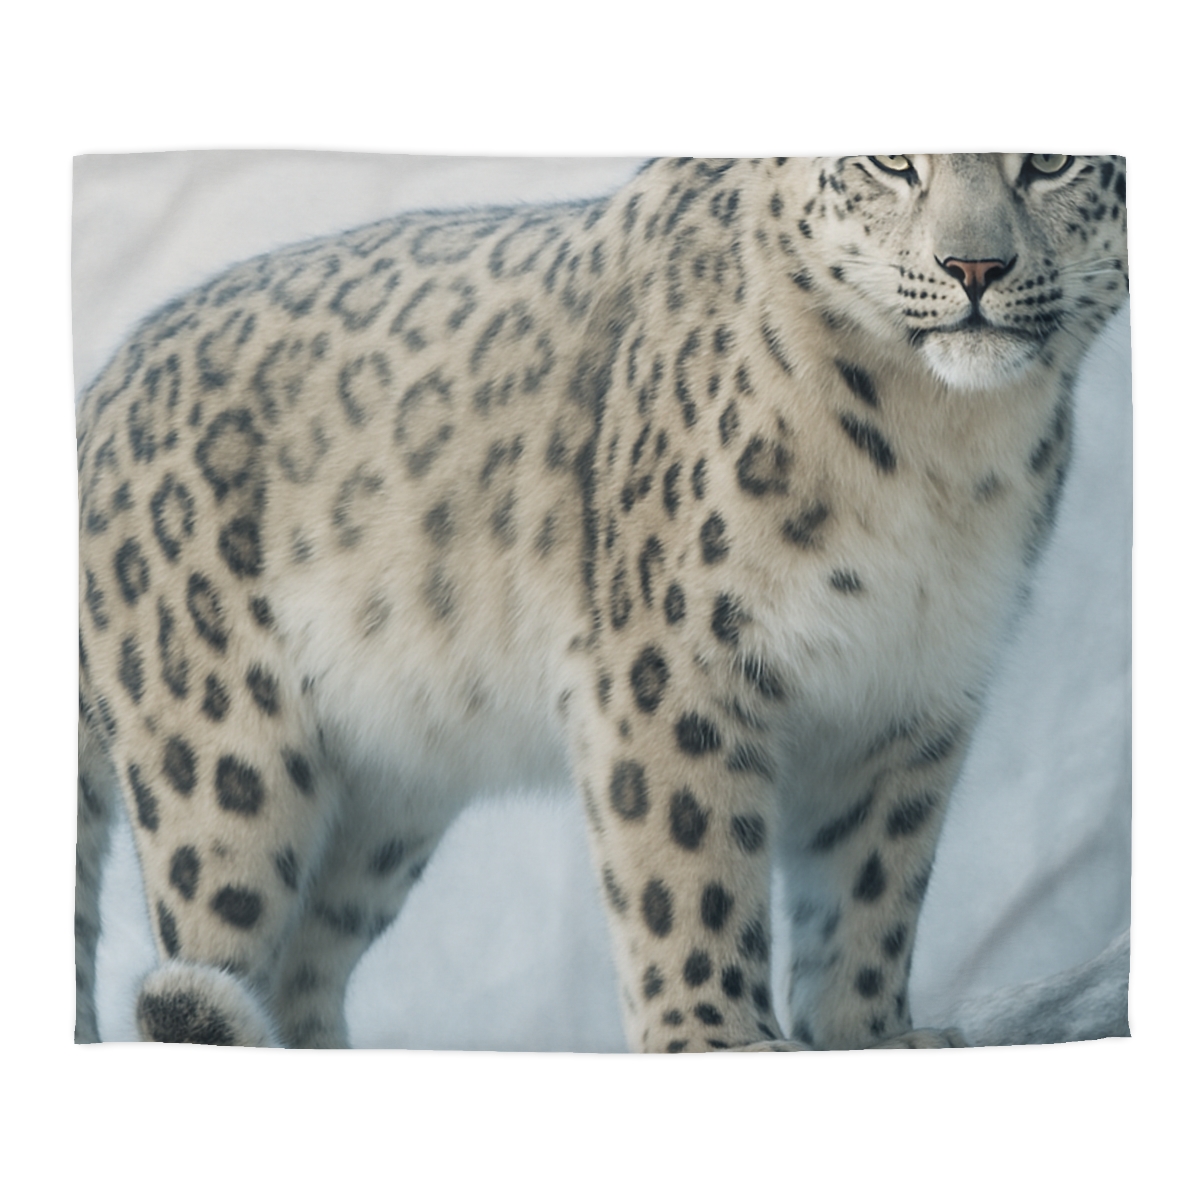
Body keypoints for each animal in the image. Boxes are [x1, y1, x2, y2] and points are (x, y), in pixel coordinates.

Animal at [75, 154, 1129, 1051]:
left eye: (1051, 162)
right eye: (893, 163)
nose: (975, 265)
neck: (945, 449)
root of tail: (99, 388)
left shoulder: (916, 686)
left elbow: (873, 875)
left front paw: (869, 1034)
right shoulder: (674, 658)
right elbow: (690, 856)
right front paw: (717, 1039)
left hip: (386, 802)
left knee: (305, 960)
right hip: (223, 764)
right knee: (220, 939)